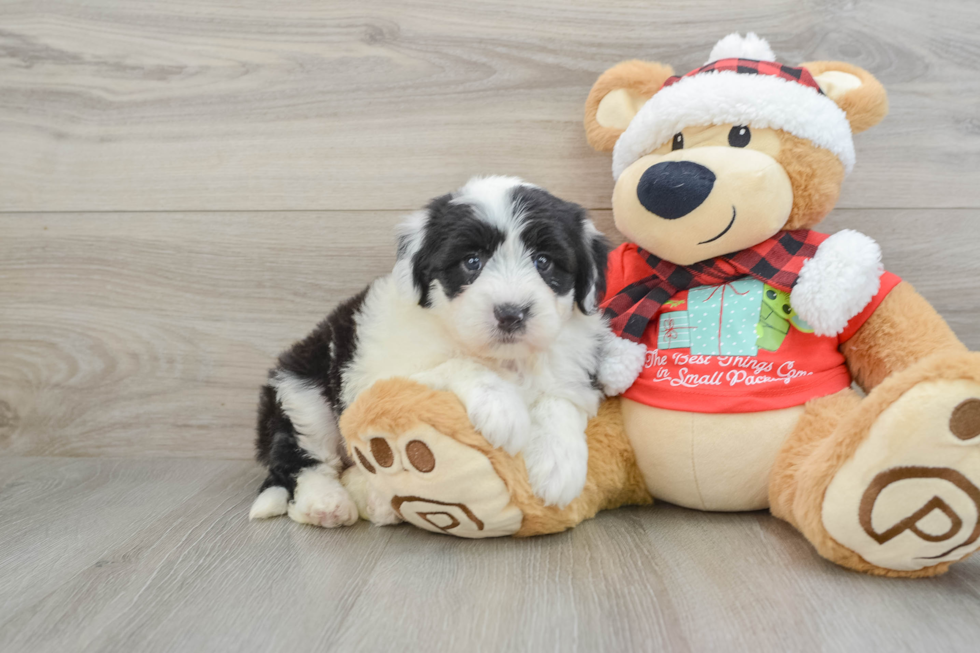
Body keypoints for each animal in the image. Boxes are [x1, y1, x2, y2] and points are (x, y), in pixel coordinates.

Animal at [249, 176, 648, 528]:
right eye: (472, 262)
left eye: (544, 262)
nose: (511, 313)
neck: (505, 357)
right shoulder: (382, 374)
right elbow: (459, 363)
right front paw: (503, 410)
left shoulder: (570, 365)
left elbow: (559, 399)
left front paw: (557, 465)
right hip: (302, 391)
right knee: (301, 463)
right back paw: (326, 503)